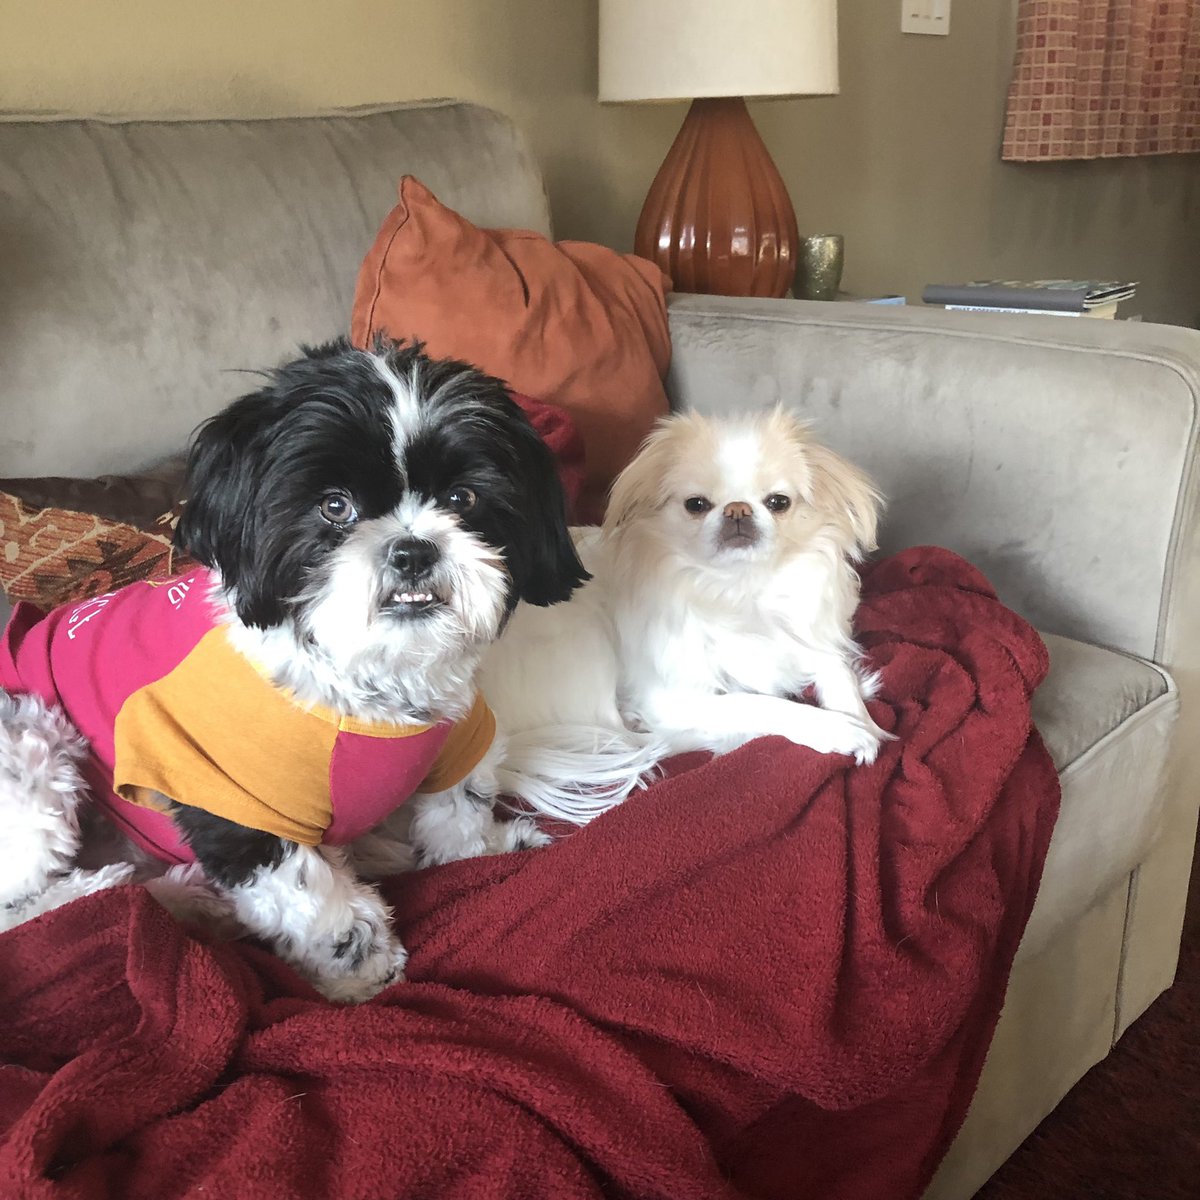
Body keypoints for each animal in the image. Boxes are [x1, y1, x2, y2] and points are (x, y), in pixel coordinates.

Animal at [0, 340, 648, 1003]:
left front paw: (484, 849)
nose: (413, 549)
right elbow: (315, 902)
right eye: (335, 506)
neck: (364, 683)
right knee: (30, 907)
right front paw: (364, 971)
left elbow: (458, 813)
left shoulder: (458, 744)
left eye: (462, 500)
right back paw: (128, 890)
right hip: (29, 741)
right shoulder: (233, 806)